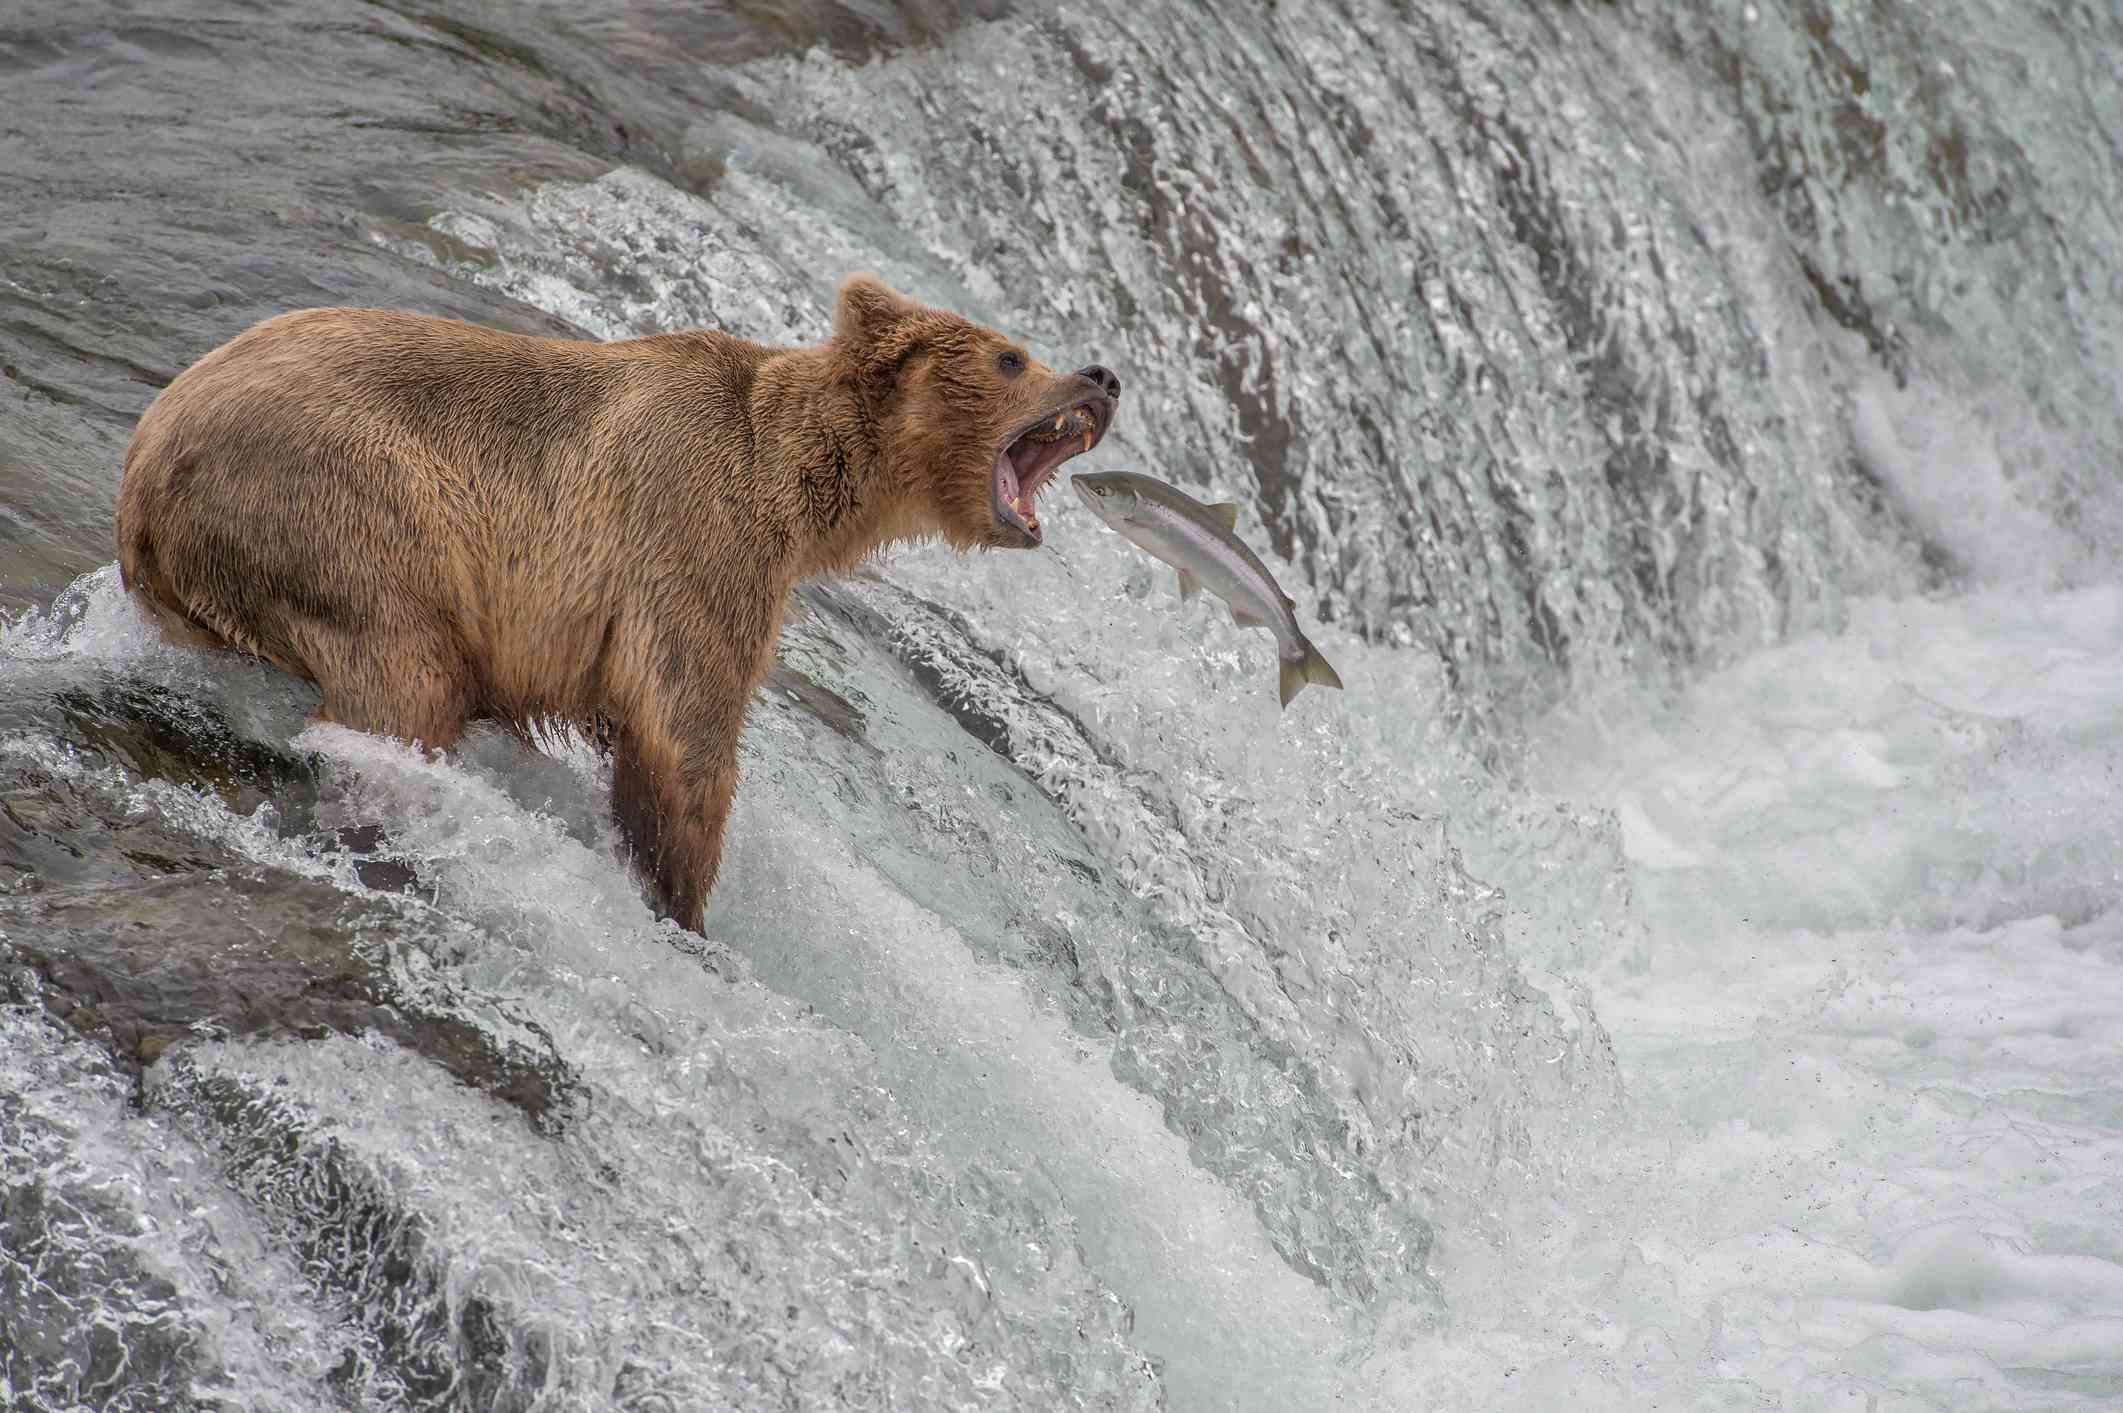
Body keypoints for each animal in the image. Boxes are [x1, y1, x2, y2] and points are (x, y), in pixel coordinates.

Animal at [114, 277, 1120, 933]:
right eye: (1011, 354)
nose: (1103, 375)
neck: (793, 483)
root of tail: (143, 470)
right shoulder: (692, 536)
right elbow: (682, 729)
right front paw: (682, 903)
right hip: (340, 504)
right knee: (404, 674)